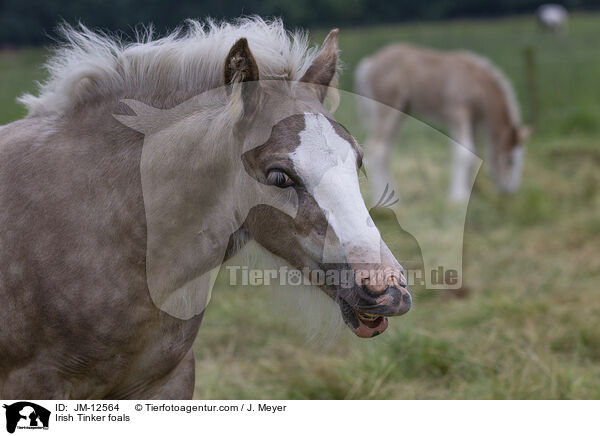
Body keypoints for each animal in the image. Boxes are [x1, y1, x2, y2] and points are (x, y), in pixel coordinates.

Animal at [354, 43, 532, 203]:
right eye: (510, 160)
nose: (510, 191)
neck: (475, 82)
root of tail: (370, 63)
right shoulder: (457, 113)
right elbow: (463, 153)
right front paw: (458, 198)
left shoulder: (472, 121)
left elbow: (473, 155)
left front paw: (471, 195)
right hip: (388, 110)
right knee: (377, 149)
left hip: (399, 113)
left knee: (385, 152)